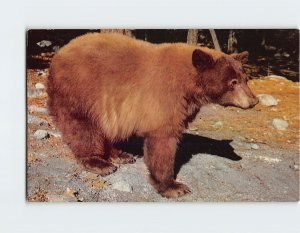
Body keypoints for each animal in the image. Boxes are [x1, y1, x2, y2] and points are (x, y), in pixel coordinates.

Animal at [47, 31, 258, 198]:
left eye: (244, 78)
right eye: (233, 82)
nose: (254, 101)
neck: (189, 85)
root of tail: (59, 54)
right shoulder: (164, 98)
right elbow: (163, 140)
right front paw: (174, 186)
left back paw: (120, 154)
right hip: (80, 91)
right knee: (82, 128)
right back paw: (99, 162)